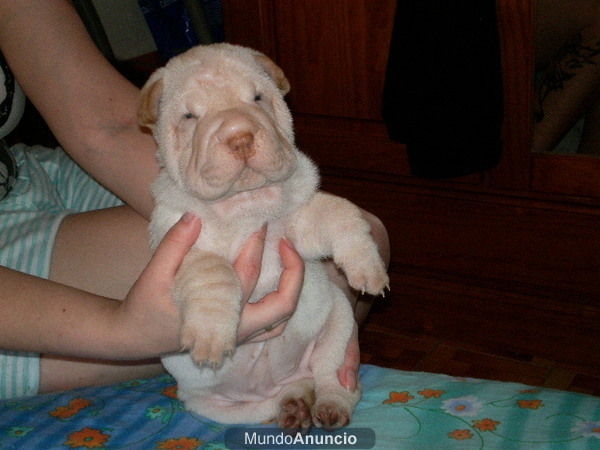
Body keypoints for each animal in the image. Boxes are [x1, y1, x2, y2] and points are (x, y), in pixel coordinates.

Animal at [139, 43, 390, 428]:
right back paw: (293, 405)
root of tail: (284, 381)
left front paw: (369, 267)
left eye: (257, 98)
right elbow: (212, 273)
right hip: (212, 405)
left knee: (333, 378)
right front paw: (211, 337)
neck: (246, 203)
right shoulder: (182, 244)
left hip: (339, 325)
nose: (239, 135)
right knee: (270, 404)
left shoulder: (300, 220)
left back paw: (327, 406)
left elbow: (341, 214)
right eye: (189, 116)